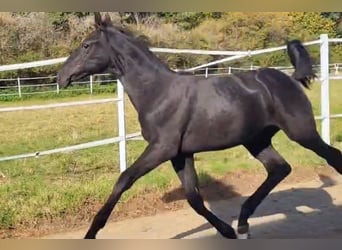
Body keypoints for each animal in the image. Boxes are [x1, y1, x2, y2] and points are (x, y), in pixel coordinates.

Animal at [56, 12, 342, 239]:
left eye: (86, 45)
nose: (61, 76)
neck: (158, 93)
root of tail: (291, 79)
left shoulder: (162, 148)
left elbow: (124, 179)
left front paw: (92, 232)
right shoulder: (181, 153)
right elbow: (193, 197)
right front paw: (226, 231)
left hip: (302, 132)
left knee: (332, 156)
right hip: (256, 140)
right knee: (279, 168)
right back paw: (242, 223)